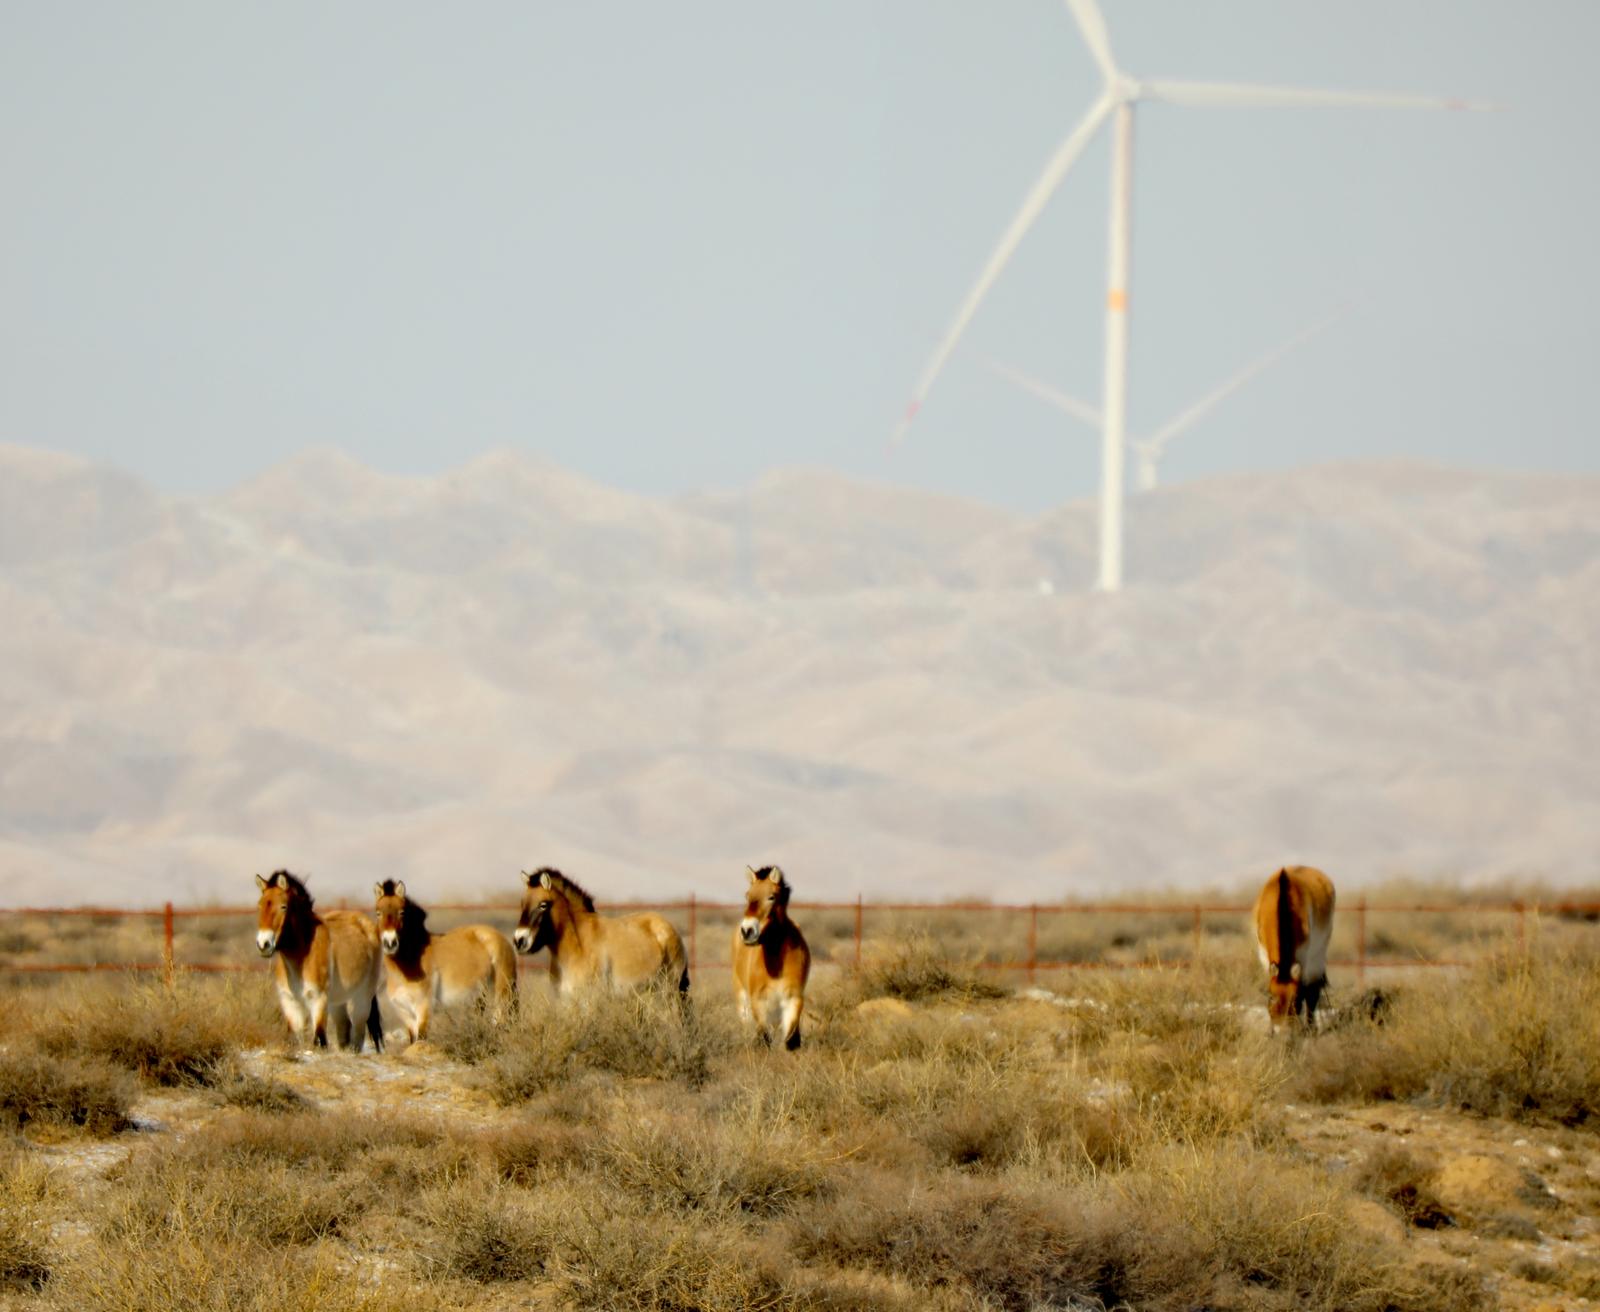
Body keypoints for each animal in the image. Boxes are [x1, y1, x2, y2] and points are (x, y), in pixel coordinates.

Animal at [252, 870, 384, 1056]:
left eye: (283, 906)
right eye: (259, 906)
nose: (263, 944)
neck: (300, 959)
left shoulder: (318, 999)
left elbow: (319, 1040)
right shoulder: (290, 1002)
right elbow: (295, 1040)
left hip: (362, 996)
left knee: (358, 1033)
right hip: (338, 1001)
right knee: (345, 1028)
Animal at [369, 883, 515, 1043]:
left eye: (402, 912)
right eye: (378, 913)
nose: (390, 943)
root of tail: (500, 938)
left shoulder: (423, 1007)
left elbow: (421, 1038)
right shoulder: (405, 1013)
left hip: (501, 992)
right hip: (480, 997)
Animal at [736, 864, 812, 1049]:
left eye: (771, 897)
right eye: (747, 896)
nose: (747, 931)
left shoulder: (793, 998)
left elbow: (790, 1039)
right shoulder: (759, 1001)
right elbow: (764, 1036)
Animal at [1248, 864, 1337, 1036]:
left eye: (1295, 999)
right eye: (1271, 996)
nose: (1281, 1031)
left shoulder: (1305, 957)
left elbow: (1308, 992)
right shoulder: (1264, 956)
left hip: (1318, 954)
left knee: (1313, 991)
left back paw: (1311, 1027)